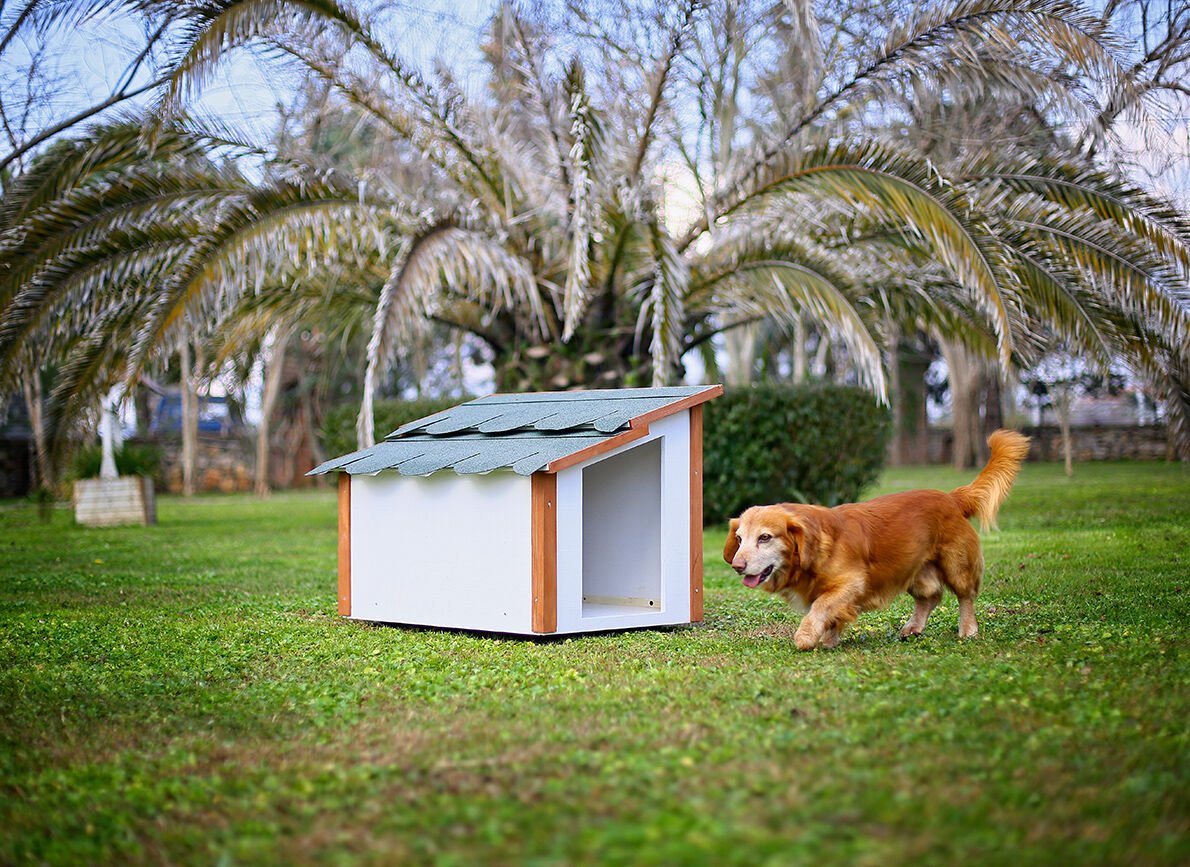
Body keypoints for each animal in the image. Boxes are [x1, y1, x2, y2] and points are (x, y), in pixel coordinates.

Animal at [718, 430, 1028, 646]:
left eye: (765, 538)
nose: (737, 566)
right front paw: (829, 639)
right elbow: (831, 613)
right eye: (740, 539)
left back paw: (968, 630)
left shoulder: (854, 582)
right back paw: (913, 627)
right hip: (913, 568)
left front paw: (806, 636)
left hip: (956, 564)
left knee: (965, 596)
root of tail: (952, 497)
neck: (815, 548)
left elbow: (821, 605)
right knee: (930, 596)